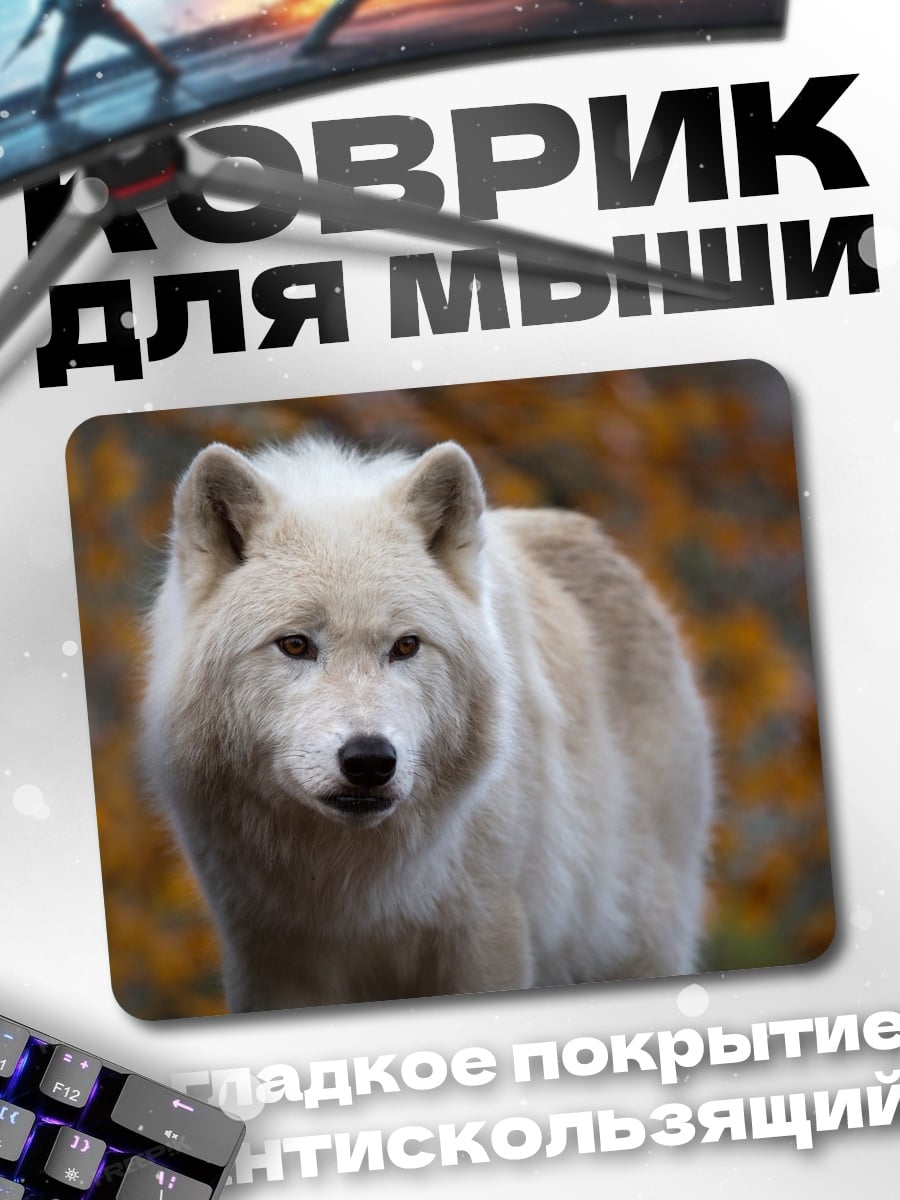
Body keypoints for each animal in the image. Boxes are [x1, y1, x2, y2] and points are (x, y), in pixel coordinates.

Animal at [140, 437, 714, 1012]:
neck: (349, 885)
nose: (369, 760)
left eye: (406, 646)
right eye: (296, 644)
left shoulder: (488, 941)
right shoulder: (266, 960)